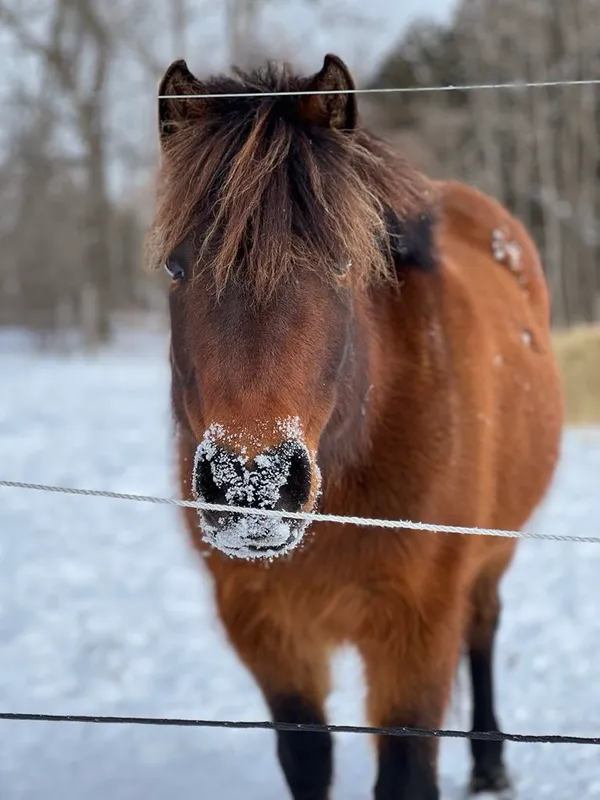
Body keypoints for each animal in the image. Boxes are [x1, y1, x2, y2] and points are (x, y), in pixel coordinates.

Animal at [148, 53, 564, 799]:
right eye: (176, 264)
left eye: (341, 263)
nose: (252, 486)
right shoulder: (269, 632)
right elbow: (307, 762)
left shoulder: (415, 634)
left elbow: (405, 774)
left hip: (491, 554)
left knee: (484, 629)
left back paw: (490, 764)